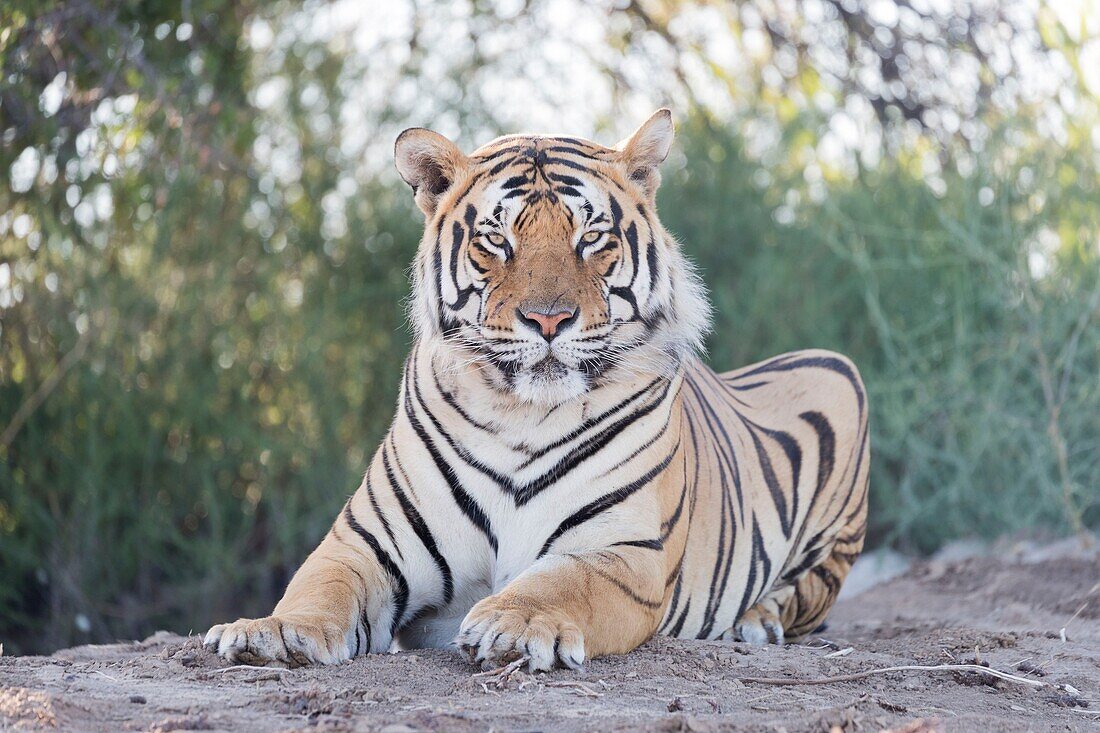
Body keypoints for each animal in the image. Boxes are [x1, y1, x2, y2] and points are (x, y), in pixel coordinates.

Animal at [204, 107, 866, 669]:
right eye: (496, 240)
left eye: (592, 237)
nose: (548, 321)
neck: (521, 414)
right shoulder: (366, 543)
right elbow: (318, 587)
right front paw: (269, 632)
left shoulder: (622, 551)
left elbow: (562, 583)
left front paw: (516, 624)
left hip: (839, 377)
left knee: (803, 593)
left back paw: (755, 622)